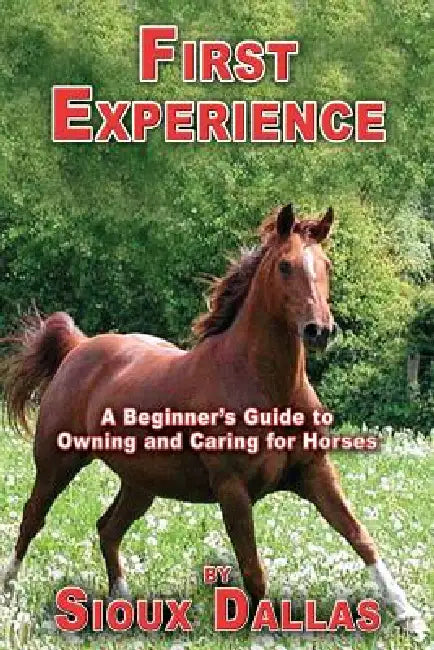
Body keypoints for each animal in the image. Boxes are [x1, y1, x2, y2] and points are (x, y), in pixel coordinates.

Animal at [0, 204, 425, 636]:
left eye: (326, 265)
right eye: (285, 265)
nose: (319, 330)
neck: (266, 388)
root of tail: (79, 347)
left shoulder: (315, 473)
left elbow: (360, 537)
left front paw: (409, 616)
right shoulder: (232, 488)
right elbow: (253, 568)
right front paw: (264, 633)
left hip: (141, 483)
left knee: (108, 529)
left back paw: (123, 606)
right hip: (57, 463)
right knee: (32, 519)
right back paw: (10, 592)